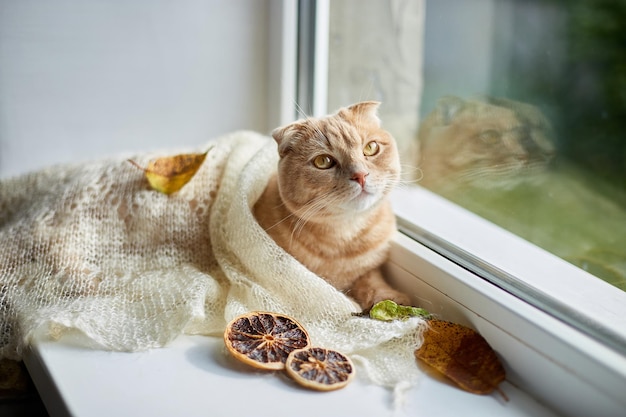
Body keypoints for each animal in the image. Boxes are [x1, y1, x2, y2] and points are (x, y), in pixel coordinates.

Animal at [254, 101, 410, 308]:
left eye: (371, 148)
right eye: (323, 161)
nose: (361, 175)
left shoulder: (370, 266)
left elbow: (372, 279)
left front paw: (390, 297)